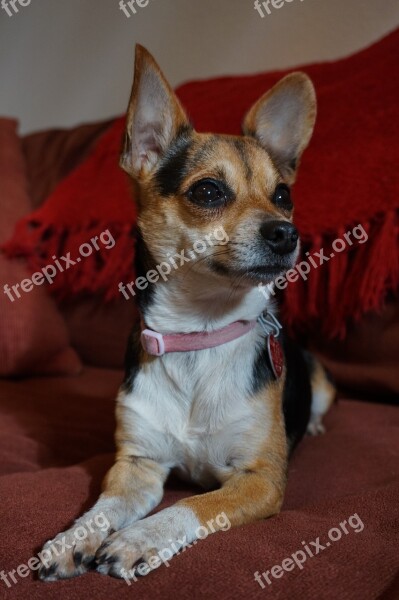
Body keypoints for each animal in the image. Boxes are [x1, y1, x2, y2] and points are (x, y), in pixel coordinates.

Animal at [39, 45, 336, 580]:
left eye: (284, 195)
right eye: (208, 192)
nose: (286, 232)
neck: (199, 333)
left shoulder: (259, 480)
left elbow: (190, 505)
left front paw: (137, 539)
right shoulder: (135, 465)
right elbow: (101, 509)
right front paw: (71, 540)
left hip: (321, 381)